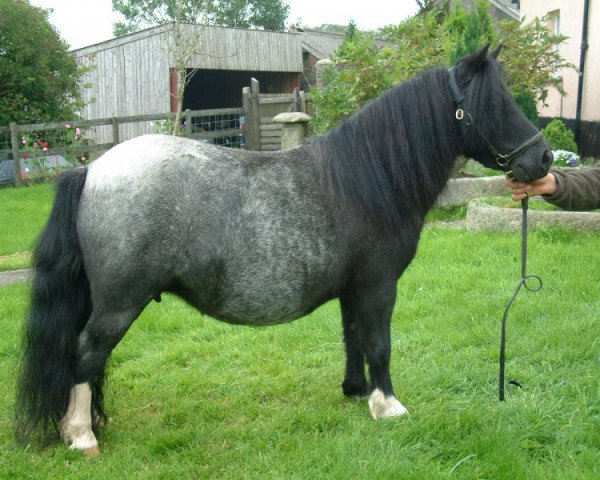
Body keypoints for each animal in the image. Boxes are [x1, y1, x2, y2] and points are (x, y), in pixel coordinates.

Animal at [14, 46, 552, 454]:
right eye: (497, 104)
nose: (544, 158)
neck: (367, 180)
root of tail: (92, 170)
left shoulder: (352, 290)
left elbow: (353, 338)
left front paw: (357, 393)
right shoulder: (378, 287)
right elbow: (379, 343)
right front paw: (389, 405)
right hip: (119, 304)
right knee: (86, 354)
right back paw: (81, 436)